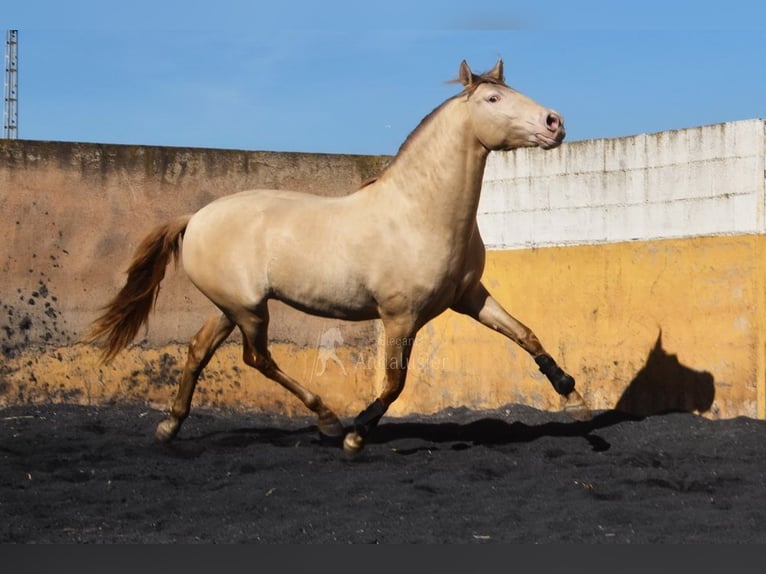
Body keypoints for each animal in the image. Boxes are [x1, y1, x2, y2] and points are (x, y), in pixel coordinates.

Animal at [84, 59, 592, 454]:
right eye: (492, 99)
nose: (555, 122)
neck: (418, 213)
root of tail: (195, 217)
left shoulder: (468, 297)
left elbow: (525, 334)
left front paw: (571, 393)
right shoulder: (400, 316)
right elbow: (394, 383)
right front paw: (356, 435)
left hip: (230, 307)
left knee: (198, 351)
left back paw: (169, 427)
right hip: (249, 311)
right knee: (257, 358)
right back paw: (327, 421)